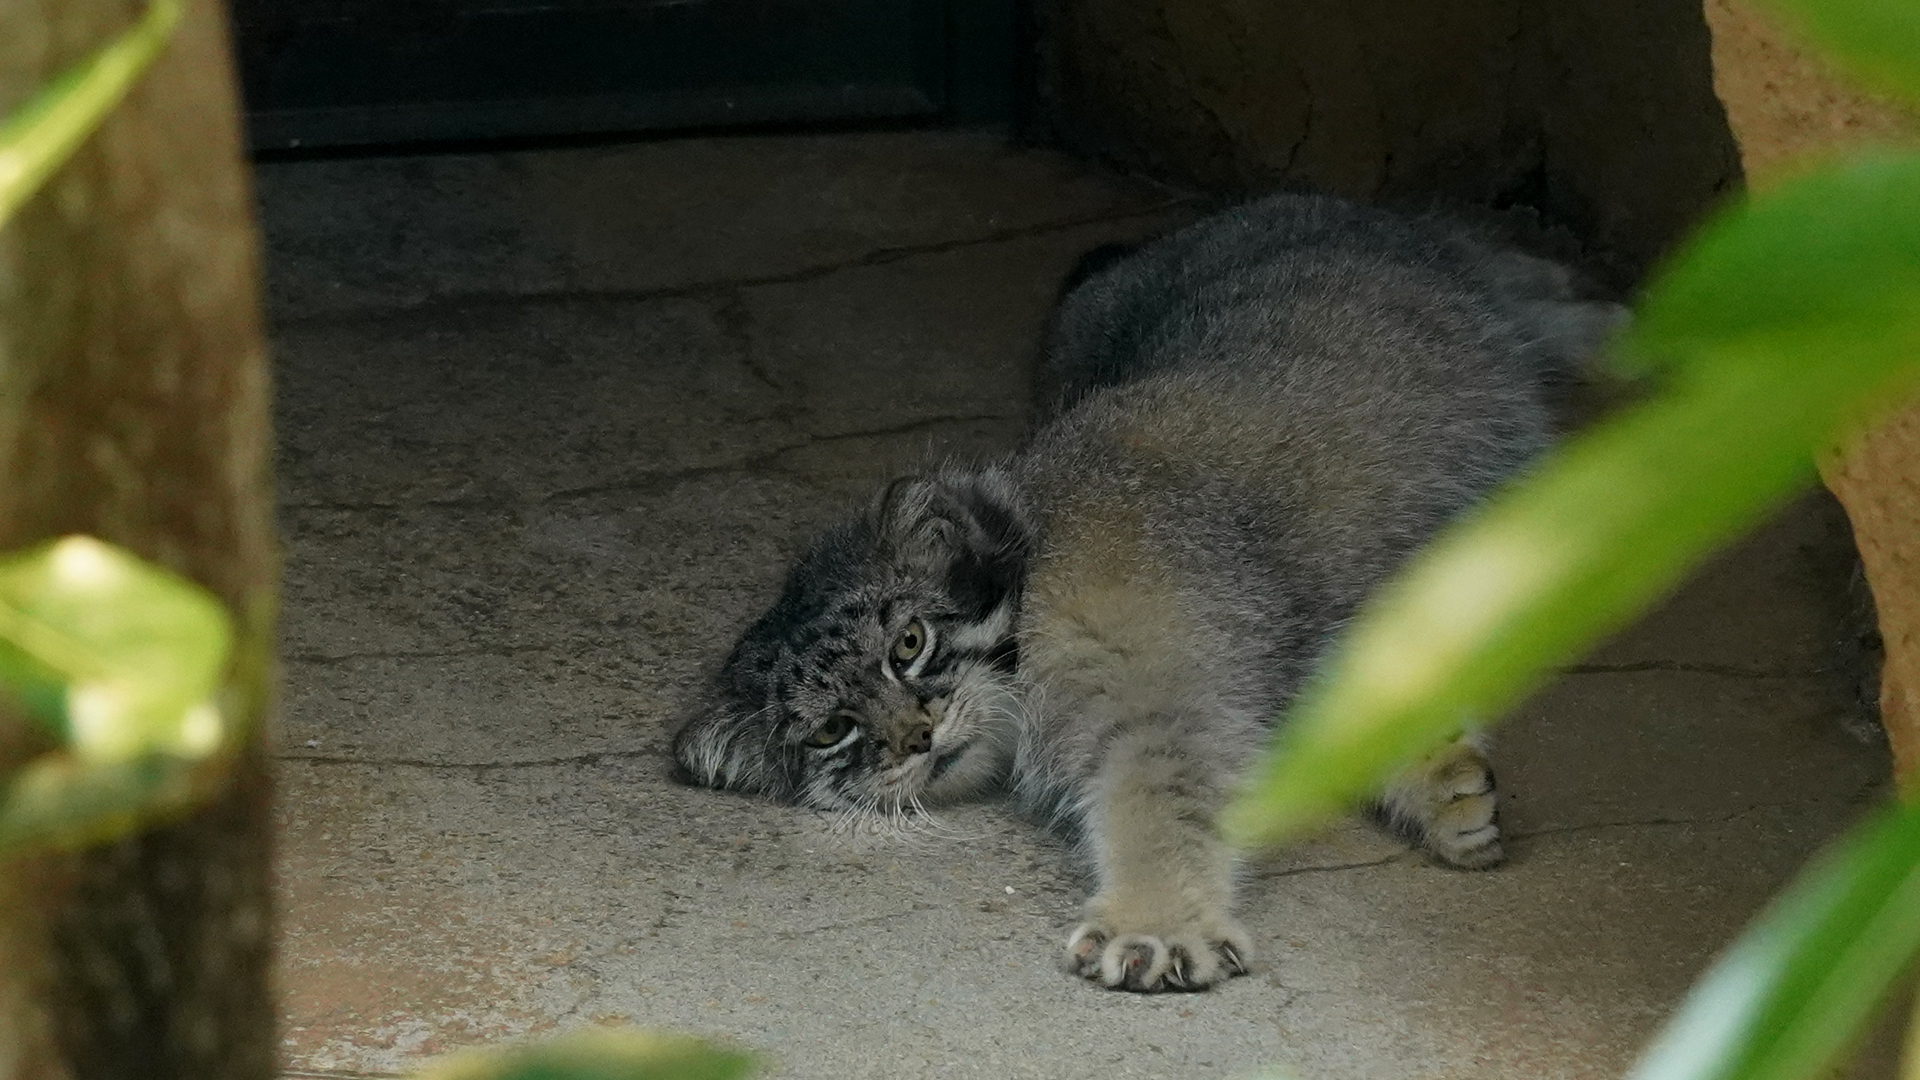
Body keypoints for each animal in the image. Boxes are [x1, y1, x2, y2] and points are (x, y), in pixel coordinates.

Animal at [672, 191, 1620, 983]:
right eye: (832, 730)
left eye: (910, 643)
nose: (915, 738)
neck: (1035, 554)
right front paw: (1438, 783)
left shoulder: (1154, 675)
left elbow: (1154, 799)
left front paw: (1158, 918)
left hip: (1456, 270)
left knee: (1526, 280)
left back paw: (1625, 326)